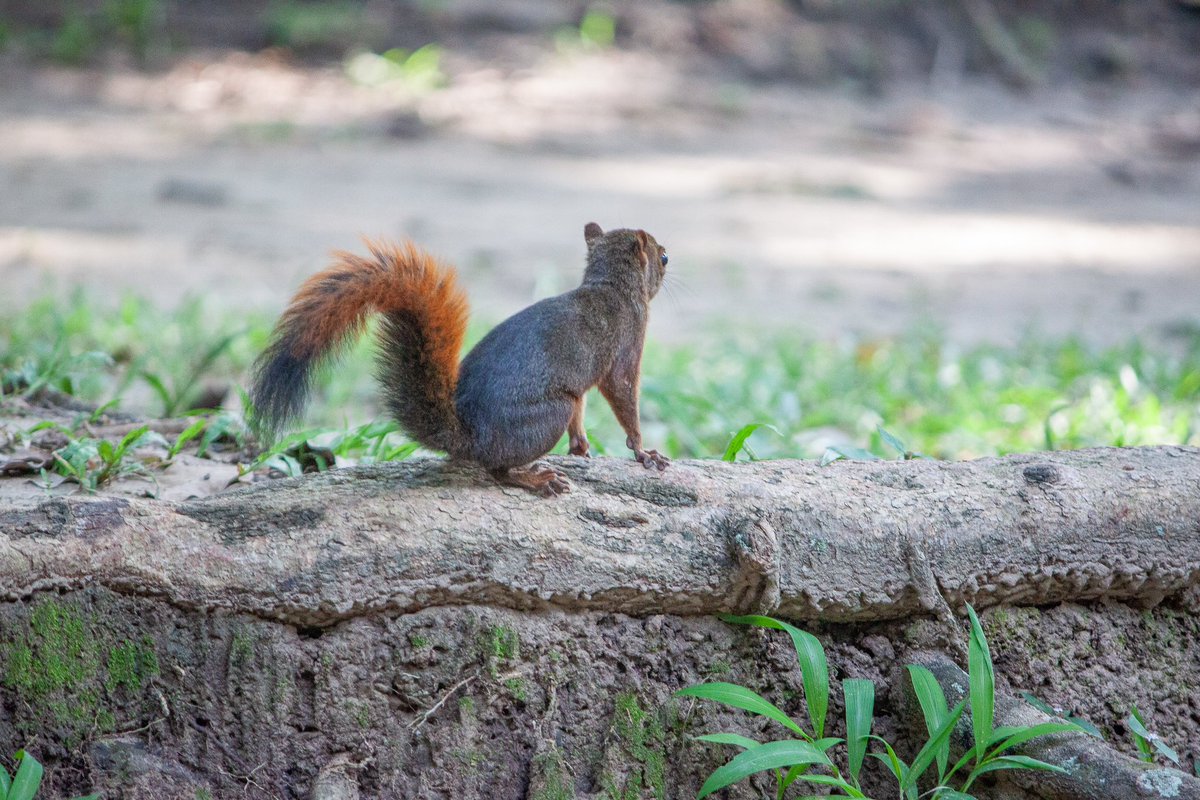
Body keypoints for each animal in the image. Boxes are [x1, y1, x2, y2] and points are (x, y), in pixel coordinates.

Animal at [249, 220, 672, 494]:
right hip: (548, 415)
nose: (670, 258)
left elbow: (582, 411)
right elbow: (622, 394)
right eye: (663, 258)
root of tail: (472, 438)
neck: (611, 284)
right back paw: (534, 479)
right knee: (497, 470)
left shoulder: (584, 382)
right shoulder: (627, 346)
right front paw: (644, 452)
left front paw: (581, 448)